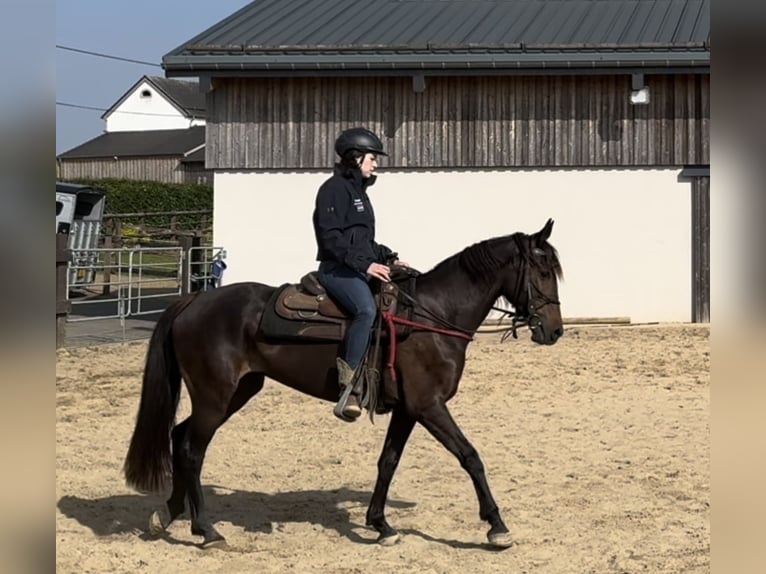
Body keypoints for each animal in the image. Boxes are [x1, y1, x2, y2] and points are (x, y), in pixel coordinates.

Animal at [124, 219, 564, 548]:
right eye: (543, 272)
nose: (554, 331)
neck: (432, 317)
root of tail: (193, 301)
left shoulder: (408, 410)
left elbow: (388, 462)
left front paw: (380, 524)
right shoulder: (430, 406)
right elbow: (470, 456)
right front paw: (496, 526)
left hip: (236, 392)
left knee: (179, 437)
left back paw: (171, 513)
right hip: (215, 397)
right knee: (192, 449)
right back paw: (207, 530)